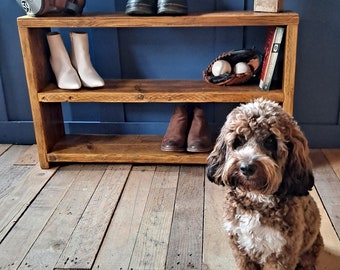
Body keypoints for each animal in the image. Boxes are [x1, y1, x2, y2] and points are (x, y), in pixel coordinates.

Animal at [206, 98, 322, 268]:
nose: (246, 167)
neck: (256, 198)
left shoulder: (280, 254)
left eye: (270, 140)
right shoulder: (240, 246)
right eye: (239, 140)